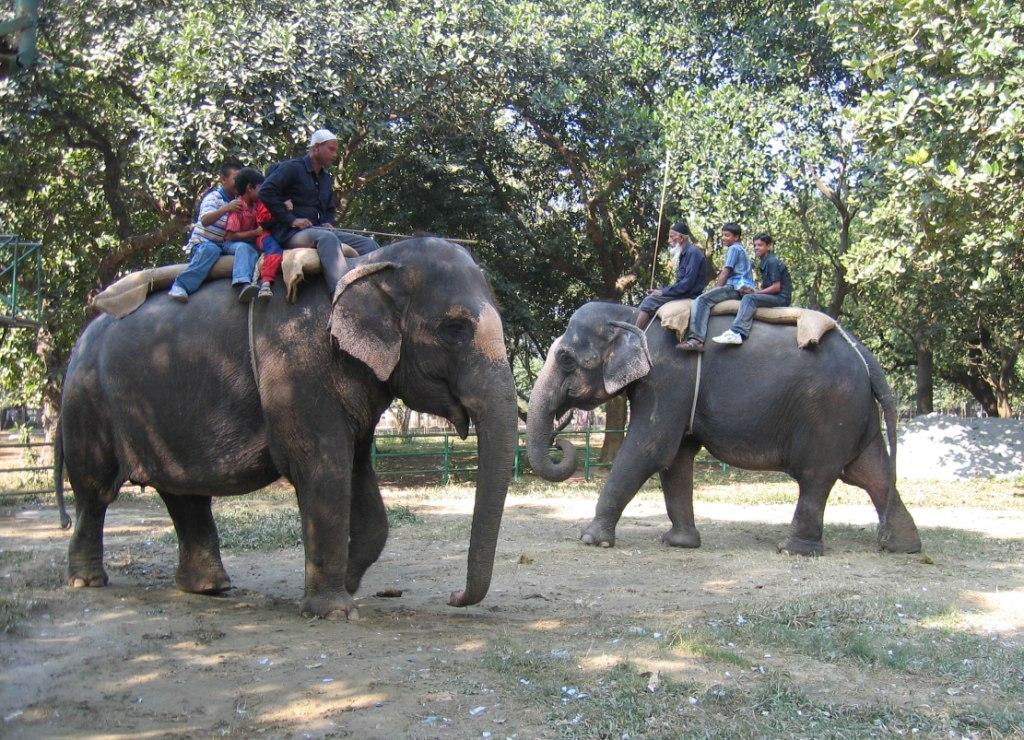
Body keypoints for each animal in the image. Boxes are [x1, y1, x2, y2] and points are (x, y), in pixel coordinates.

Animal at [55, 238, 517, 619]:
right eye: (454, 329)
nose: (454, 596)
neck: (367, 266)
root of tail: (79, 343)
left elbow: (357, 476)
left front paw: (341, 588)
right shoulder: (296, 370)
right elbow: (325, 472)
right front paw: (335, 611)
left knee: (183, 494)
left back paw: (209, 589)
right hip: (86, 402)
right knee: (95, 491)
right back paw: (87, 581)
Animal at [526, 301, 921, 556]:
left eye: (565, 359)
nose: (561, 441)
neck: (632, 314)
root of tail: (864, 354)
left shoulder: (669, 378)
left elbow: (650, 448)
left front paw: (590, 539)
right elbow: (676, 459)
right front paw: (679, 544)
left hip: (829, 411)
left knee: (817, 476)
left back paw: (793, 550)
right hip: (854, 414)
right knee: (872, 474)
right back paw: (902, 547)